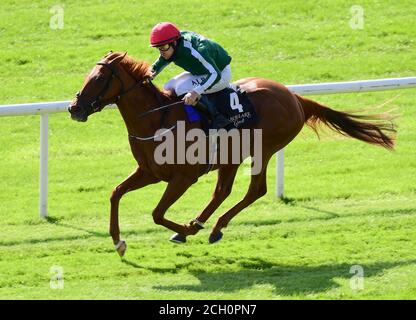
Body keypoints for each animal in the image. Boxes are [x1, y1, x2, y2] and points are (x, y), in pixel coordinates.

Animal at [67, 52, 394, 258]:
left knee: (255, 190)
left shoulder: (183, 177)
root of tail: (293, 96)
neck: (158, 118)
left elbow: (157, 213)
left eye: (98, 79)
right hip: (231, 157)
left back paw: (206, 228)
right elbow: (115, 193)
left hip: (262, 149)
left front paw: (183, 228)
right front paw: (118, 241)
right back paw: (204, 226)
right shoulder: (149, 172)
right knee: (223, 191)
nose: (74, 108)